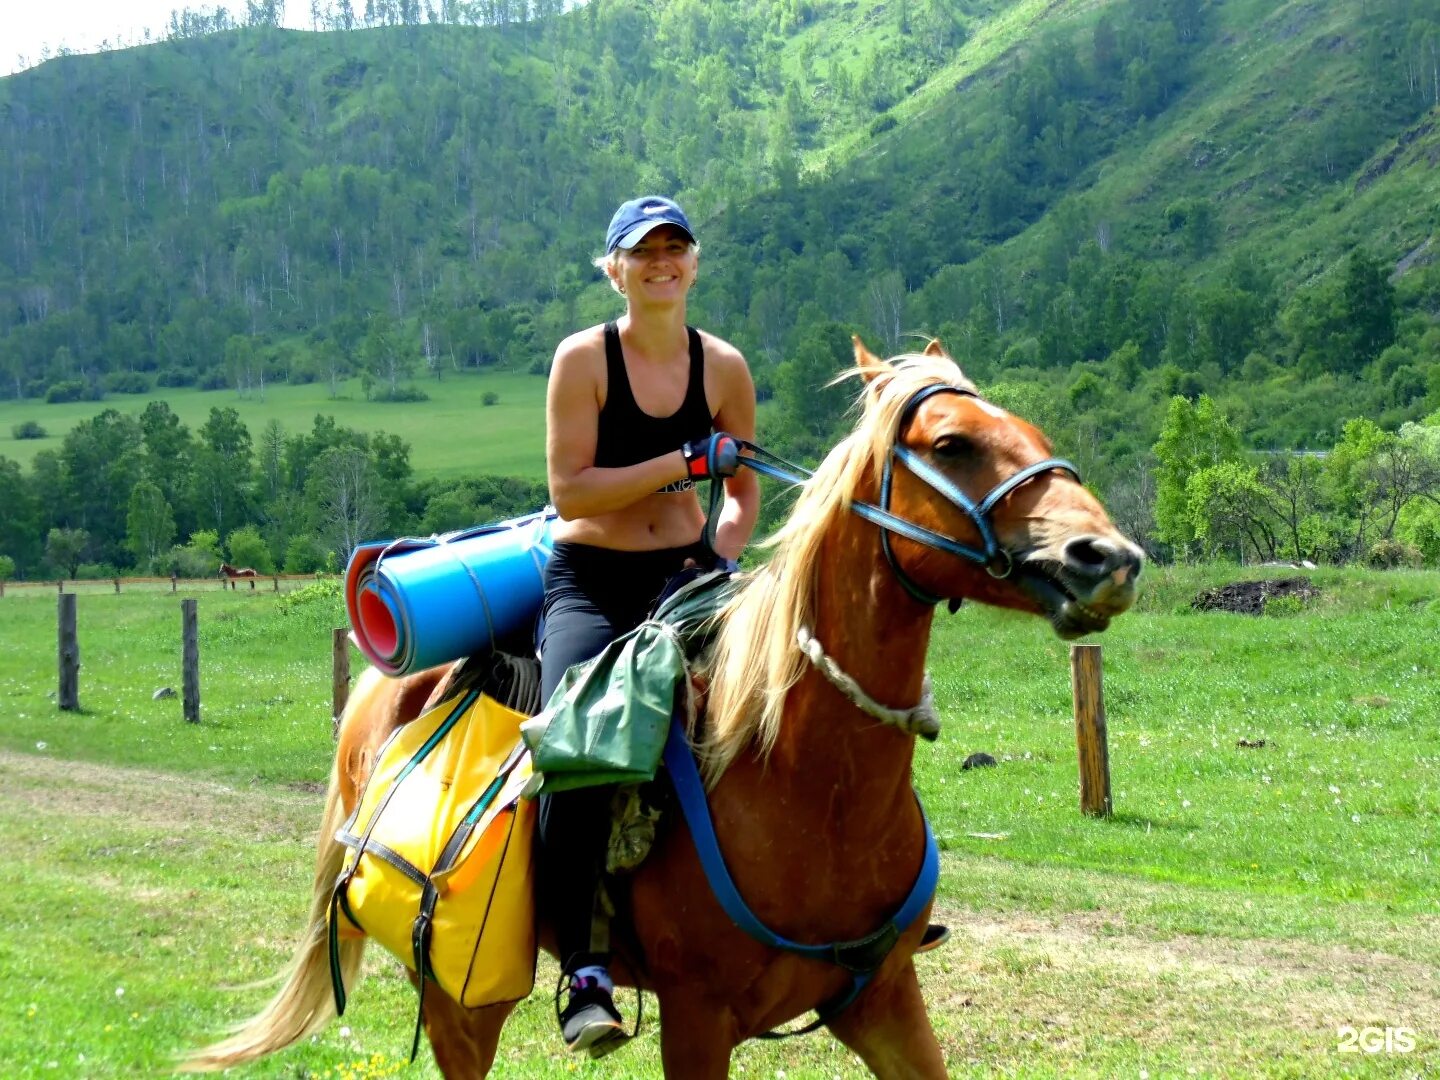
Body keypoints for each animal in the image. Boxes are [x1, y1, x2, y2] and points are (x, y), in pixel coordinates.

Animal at [182, 339, 1146, 1080]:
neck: (808, 781)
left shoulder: (884, 1001)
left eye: (1037, 434)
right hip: (460, 1005)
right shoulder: (697, 1019)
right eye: (951, 443)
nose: (1109, 558)